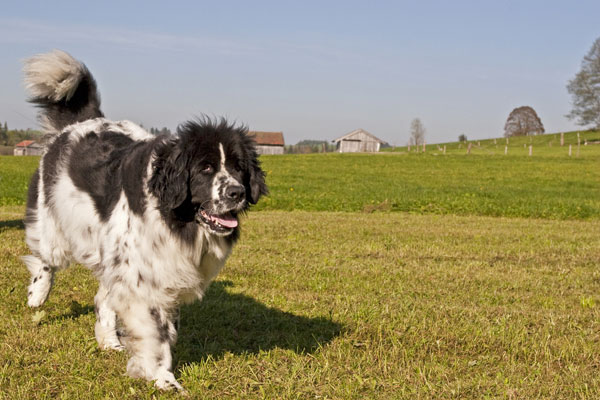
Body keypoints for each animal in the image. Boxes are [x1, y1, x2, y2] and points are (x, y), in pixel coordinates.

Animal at [22, 50, 268, 390]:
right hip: (54, 223)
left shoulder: (159, 274)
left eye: (238, 167)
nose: (237, 192)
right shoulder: (142, 281)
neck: (172, 217)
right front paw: (163, 377)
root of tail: (84, 121)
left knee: (102, 297)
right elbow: (156, 333)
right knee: (46, 259)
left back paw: (108, 340)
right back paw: (38, 295)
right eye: (205, 168)